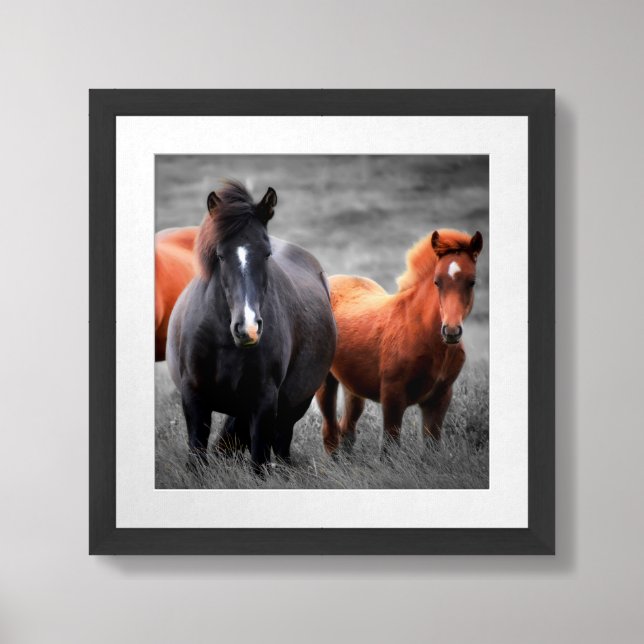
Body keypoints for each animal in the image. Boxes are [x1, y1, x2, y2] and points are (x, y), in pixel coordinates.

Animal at [167, 180, 337, 471]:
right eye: (220, 255)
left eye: (267, 254)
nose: (248, 328)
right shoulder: (193, 396)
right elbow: (197, 457)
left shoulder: (264, 401)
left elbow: (259, 462)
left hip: (294, 405)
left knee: (281, 445)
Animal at [316, 229, 483, 454]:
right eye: (437, 281)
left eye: (472, 282)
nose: (451, 331)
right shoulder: (392, 396)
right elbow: (389, 447)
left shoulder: (440, 398)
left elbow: (431, 448)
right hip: (325, 381)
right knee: (330, 432)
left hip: (353, 385)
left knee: (347, 429)